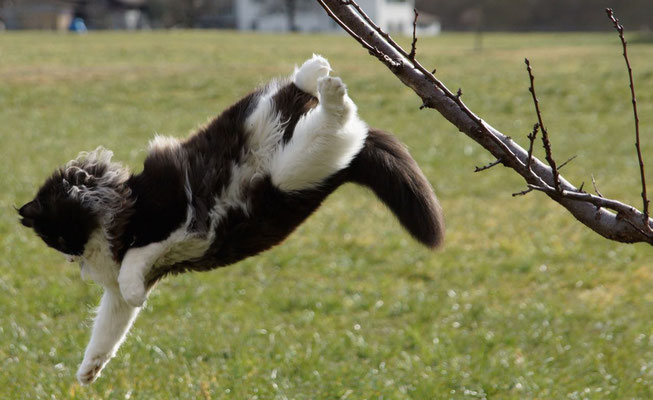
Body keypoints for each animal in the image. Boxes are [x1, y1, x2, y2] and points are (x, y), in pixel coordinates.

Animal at [16, 54, 444, 382]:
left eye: (58, 237)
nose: (71, 259)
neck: (115, 203)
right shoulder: (126, 288)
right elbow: (109, 329)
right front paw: (88, 371)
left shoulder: (174, 215)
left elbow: (134, 264)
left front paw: (134, 289)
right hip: (284, 146)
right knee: (302, 101)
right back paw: (318, 72)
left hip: (290, 169)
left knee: (335, 115)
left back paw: (329, 85)